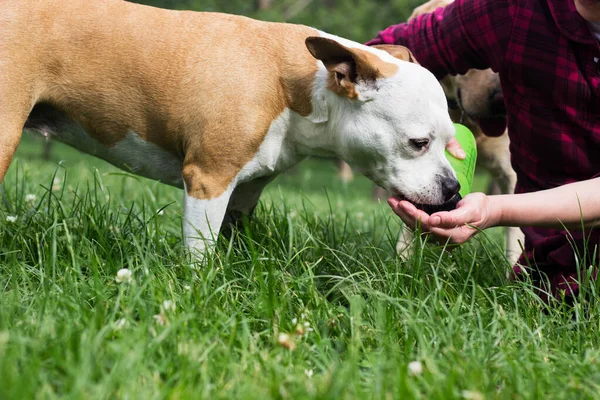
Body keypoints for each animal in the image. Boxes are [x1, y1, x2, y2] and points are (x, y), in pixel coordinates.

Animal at [0, 0, 460, 256]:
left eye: (449, 142)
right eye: (418, 143)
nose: (454, 188)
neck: (293, 88)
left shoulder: (243, 196)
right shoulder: (209, 180)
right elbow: (199, 258)